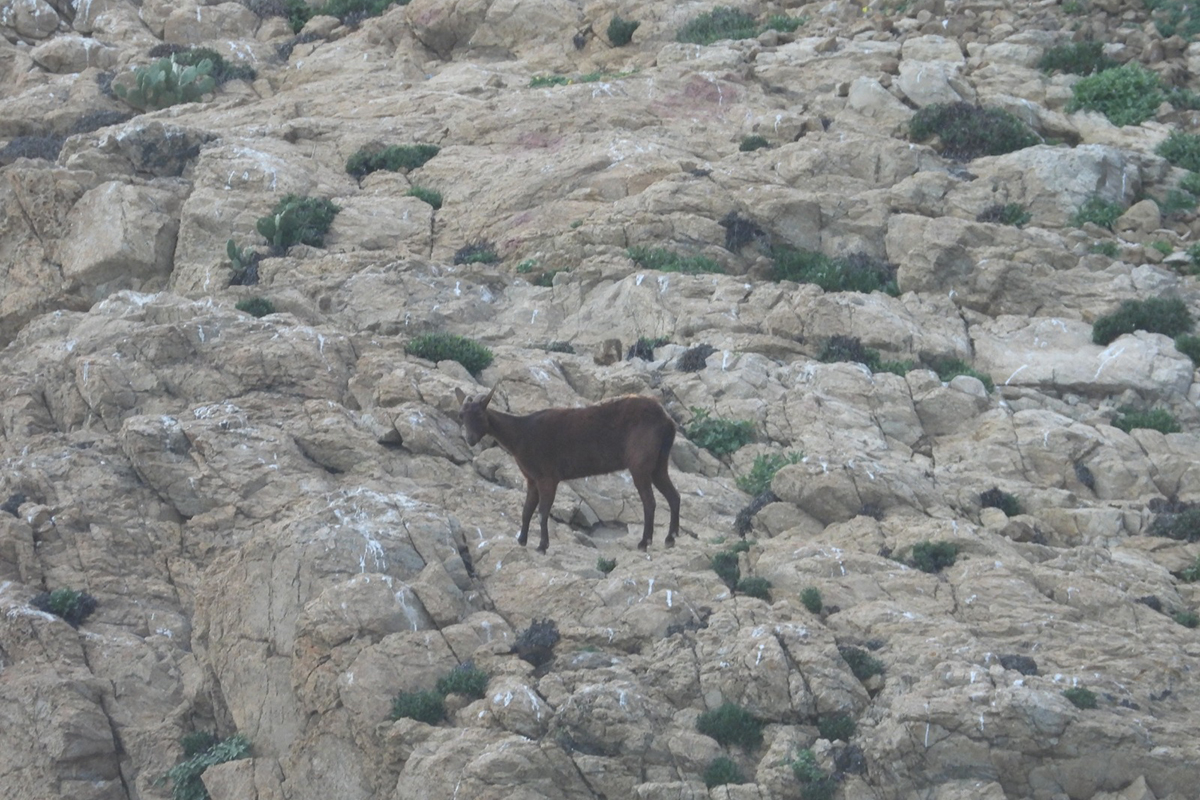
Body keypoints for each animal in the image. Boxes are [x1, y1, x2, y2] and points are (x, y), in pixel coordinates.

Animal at [455, 383, 681, 554]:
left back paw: (644, 542)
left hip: (640, 463)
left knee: (650, 501)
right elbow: (527, 510)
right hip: (659, 463)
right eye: (461, 415)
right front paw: (521, 540)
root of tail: (668, 421)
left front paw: (542, 546)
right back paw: (670, 538)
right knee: (673, 495)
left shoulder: (547, 477)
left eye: (480, 414)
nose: (470, 439)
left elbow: (542, 511)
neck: (520, 435)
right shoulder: (532, 479)